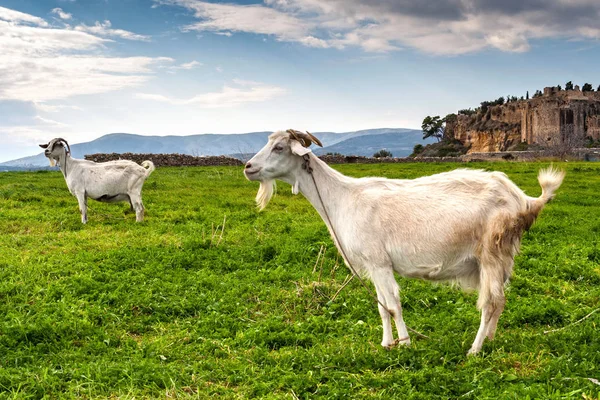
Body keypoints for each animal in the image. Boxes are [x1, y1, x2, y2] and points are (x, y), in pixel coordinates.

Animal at [244, 130, 564, 354]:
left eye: (279, 147)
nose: (247, 167)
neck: (342, 197)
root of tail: (524, 200)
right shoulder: (373, 266)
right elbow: (381, 307)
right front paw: (386, 344)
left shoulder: (380, 262)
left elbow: (394, 305)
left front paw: (406, 343)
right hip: (503, 258)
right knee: (500, 301)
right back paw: (491, 340)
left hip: (491, 254)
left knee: (490, 302)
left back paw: (475, 349)